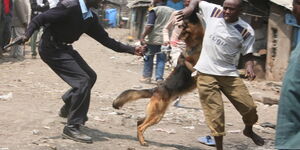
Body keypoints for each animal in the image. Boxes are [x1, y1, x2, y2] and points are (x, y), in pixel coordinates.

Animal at [112, 12, 204, 146]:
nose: (193, 11)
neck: (195, 44)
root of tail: (156, 89)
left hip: (155, 114)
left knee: (139, 122)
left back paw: (141, 139)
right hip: (157, 115)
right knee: (141, 126)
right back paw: (143, 142)